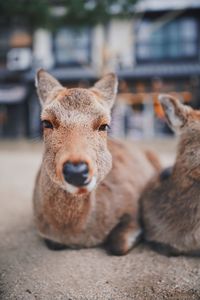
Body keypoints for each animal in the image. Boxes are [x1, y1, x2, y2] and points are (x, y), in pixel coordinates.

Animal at [32, 69, 161, 254]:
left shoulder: (132, 201)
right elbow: (53, 244)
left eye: (104, 125)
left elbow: (118, 244)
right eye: (46, 122)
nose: (76, 171)